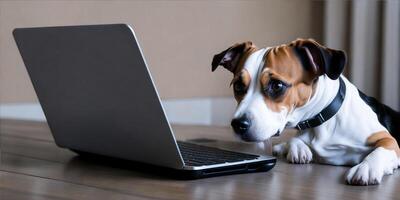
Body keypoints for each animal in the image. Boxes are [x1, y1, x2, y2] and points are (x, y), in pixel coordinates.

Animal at [211, 39, 398, 186]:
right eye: (238, 85)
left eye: (277, 85)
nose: (238, 124)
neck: (323, 121)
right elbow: (296, 139)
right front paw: (298, 148)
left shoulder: (387, 140)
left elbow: (382, 149)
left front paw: (366, 168)